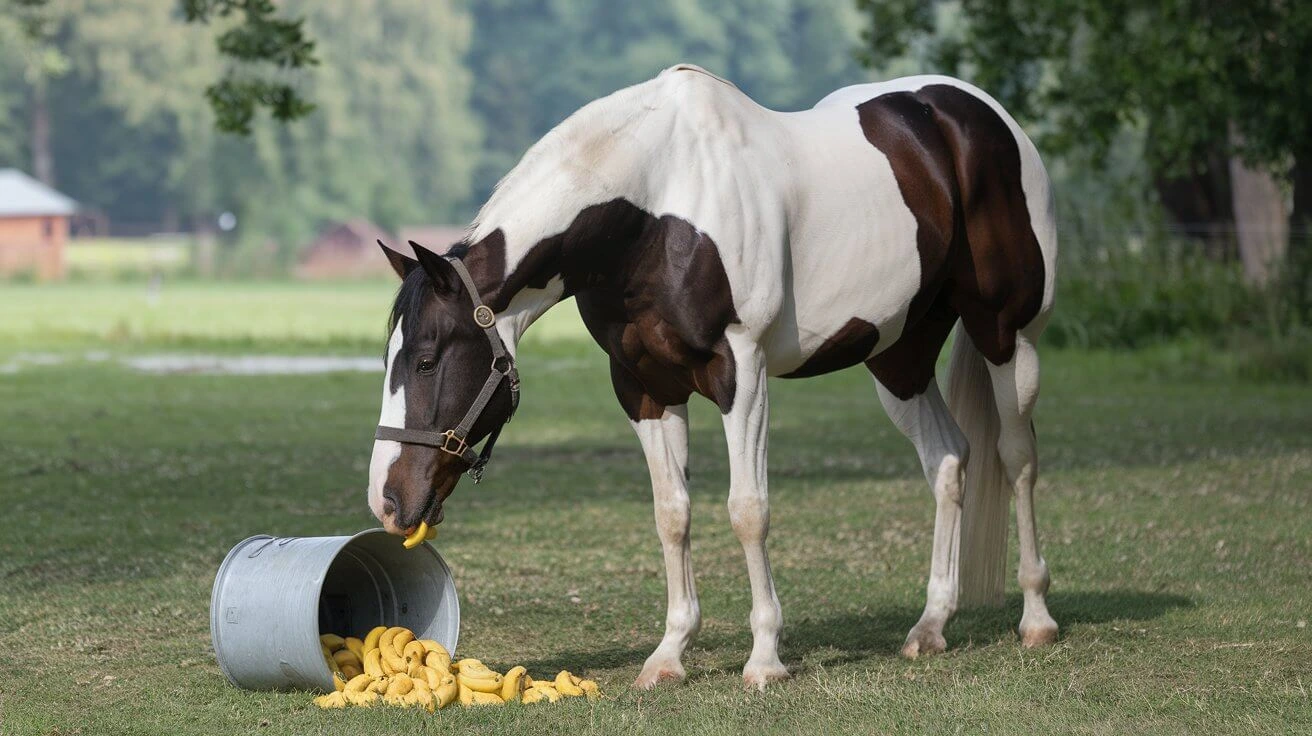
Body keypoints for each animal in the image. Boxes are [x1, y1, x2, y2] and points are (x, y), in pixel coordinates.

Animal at [364, 64, 1060, 687]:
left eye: (426, 359)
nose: (387, 501)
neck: (657, 210)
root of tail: (977, 115)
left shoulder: (740, 372)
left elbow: (748, 509)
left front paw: (765, 660)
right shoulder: (643, 387)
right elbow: (672, 513)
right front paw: (669, 655)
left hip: (1008, 335)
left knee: (1018, 457)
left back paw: (1036, 618)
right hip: (898, 356)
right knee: (948, 460)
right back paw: (930, 626)